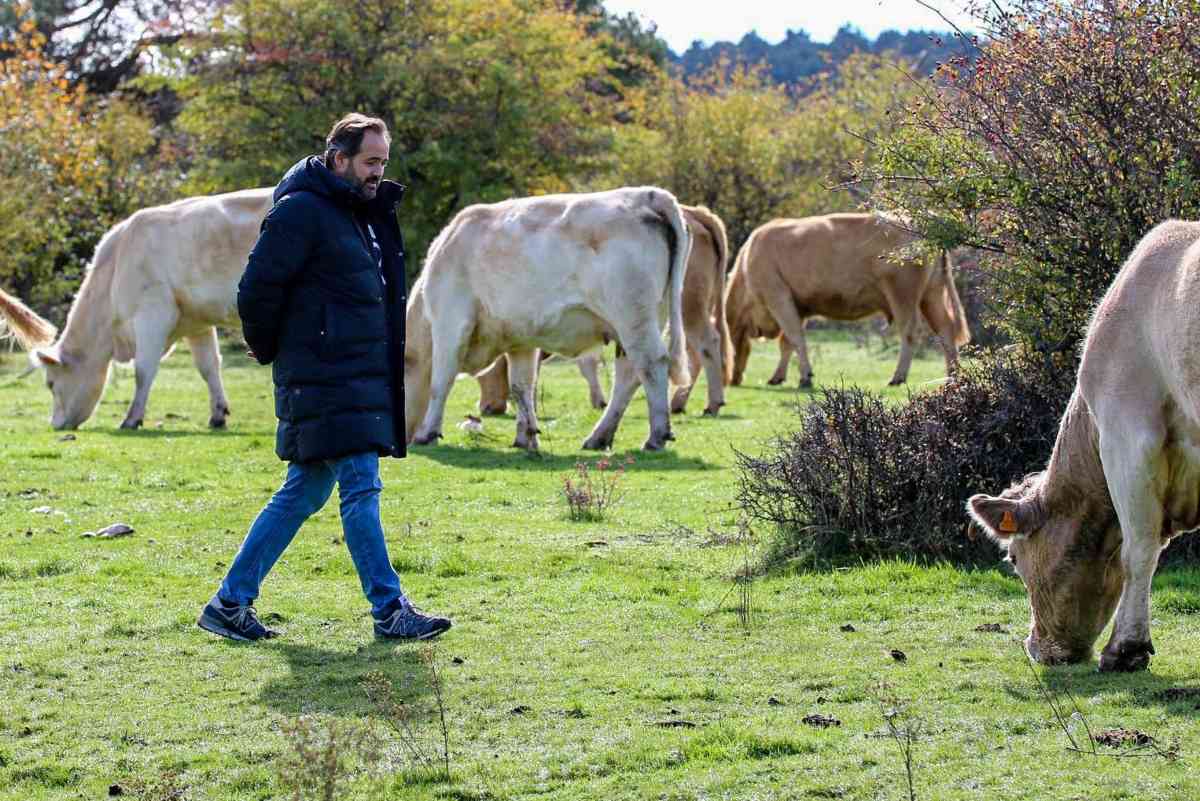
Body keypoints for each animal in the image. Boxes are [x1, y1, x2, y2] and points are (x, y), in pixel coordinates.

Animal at [0, 189, 273, 431]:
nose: (55, 424)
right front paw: (218, 416)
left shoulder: (152, 313)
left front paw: (132, 419)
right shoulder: (197, 322)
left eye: (51, 383)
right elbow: (209, 366)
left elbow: (143, 370)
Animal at [403, 185, 691, 450]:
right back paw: (599, 437)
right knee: (629, 374)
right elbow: (521, 386)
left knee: (651, 364)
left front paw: (427, 433)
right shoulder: (520, 340)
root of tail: (649, 194)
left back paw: (656, 436)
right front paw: (526, 436)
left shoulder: (450, 322)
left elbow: (441, 379)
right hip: (646, 319)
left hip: (633, 317)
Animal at [472, 206, 734, 417]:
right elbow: (587, 363)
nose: (485, 408)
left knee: (707, 343)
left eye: (483, 374)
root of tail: (698, 213)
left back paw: (711, 404)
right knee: (694, 354)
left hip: (688, 307)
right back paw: (679, 402)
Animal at [720, 212, 964, 388]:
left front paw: (805, 377)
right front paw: (778, 376)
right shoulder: (797, 306)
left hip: (903, 294)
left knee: (910, 332)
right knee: (945, 328)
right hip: (931, 295)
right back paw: (953, 376)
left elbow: (795, 338)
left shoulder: (778, 297)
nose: (733, 380)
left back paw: (898, 377)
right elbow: (787, 343)